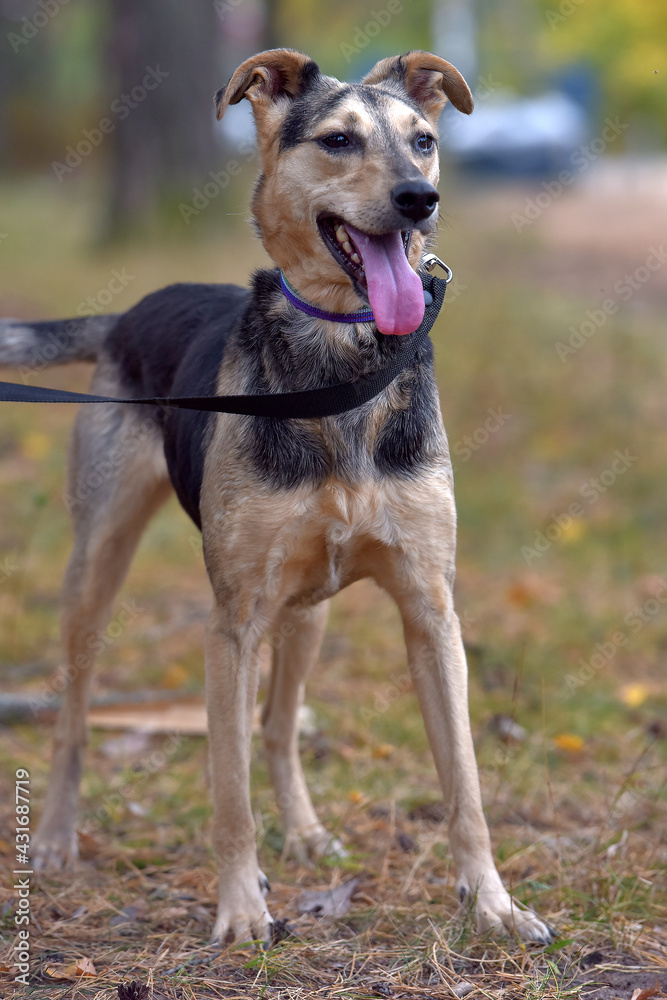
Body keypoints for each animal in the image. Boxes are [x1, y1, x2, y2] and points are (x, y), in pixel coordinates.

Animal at [0, 48, 552, 944]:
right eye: (337, 141)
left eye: (424, 140)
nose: (418, 199)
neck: (339, 361)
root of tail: (131, 311)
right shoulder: (233, 626)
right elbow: (228, 792)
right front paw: (241, 910)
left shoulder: (431, 613)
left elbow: (464, 786)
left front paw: (493, 904)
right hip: (97, 567)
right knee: (75, 715)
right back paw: (52, 836)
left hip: (309, 610)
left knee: (278, 727)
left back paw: (304, 832)